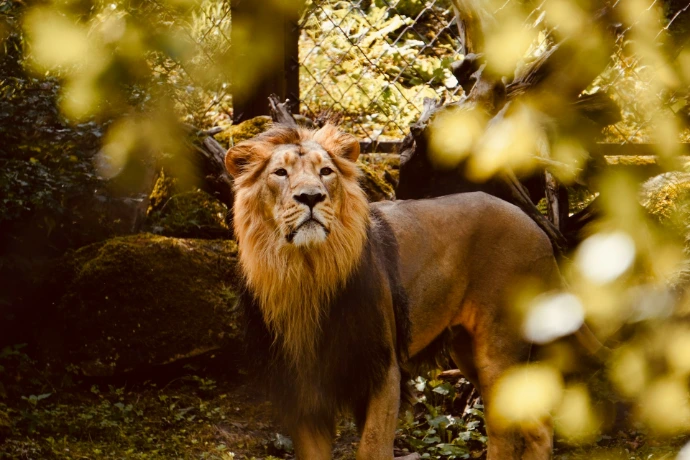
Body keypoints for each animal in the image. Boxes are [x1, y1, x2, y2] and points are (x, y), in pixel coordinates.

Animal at [225, 123, 566, 460]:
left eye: (325, 171)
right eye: (280, 173)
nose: (311, 196)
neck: (305, 272)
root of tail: (538, 228)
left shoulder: (383, 371)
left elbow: (372, 447)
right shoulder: (303, 388)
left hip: (499, 349)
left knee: (505, 436)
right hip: (467, 349)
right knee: (538, 427)